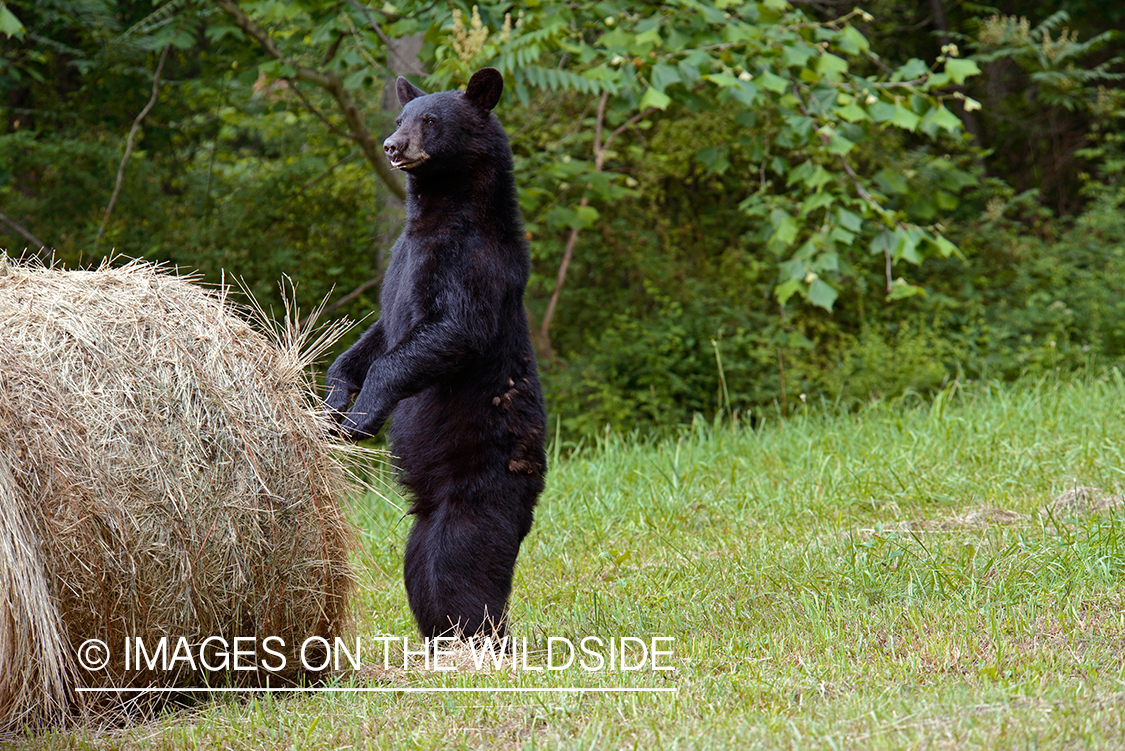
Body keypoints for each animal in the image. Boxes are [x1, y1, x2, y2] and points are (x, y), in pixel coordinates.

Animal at [326, 67, 549, 638]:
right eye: (399, 117)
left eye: (429, 120)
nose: (393, 146)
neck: (434, 218)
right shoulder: (400, 261)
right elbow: (381, 331)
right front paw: (335, 398)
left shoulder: (473, 260)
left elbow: (453, 330)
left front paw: (362, 416)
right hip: (429, 506)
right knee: (421, 563)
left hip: (481, 479)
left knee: (458, 562)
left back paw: (479, 638)